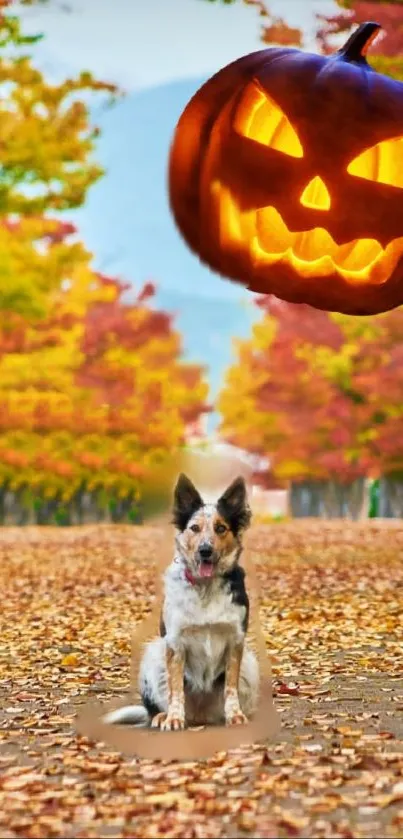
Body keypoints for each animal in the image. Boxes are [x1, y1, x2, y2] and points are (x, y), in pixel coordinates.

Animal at [104, 476, 260, 732]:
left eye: (220, 528)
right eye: (194, 528)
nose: (205, 550)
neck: (205, 587)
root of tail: (200, 716)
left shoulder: (235, 641)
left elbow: (230, 688)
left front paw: (235, 715)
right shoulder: (175, 643)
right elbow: (175, 690)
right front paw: (174, 718)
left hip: (249, 662)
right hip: (154, 654)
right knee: (159, 702)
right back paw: (161, 716)